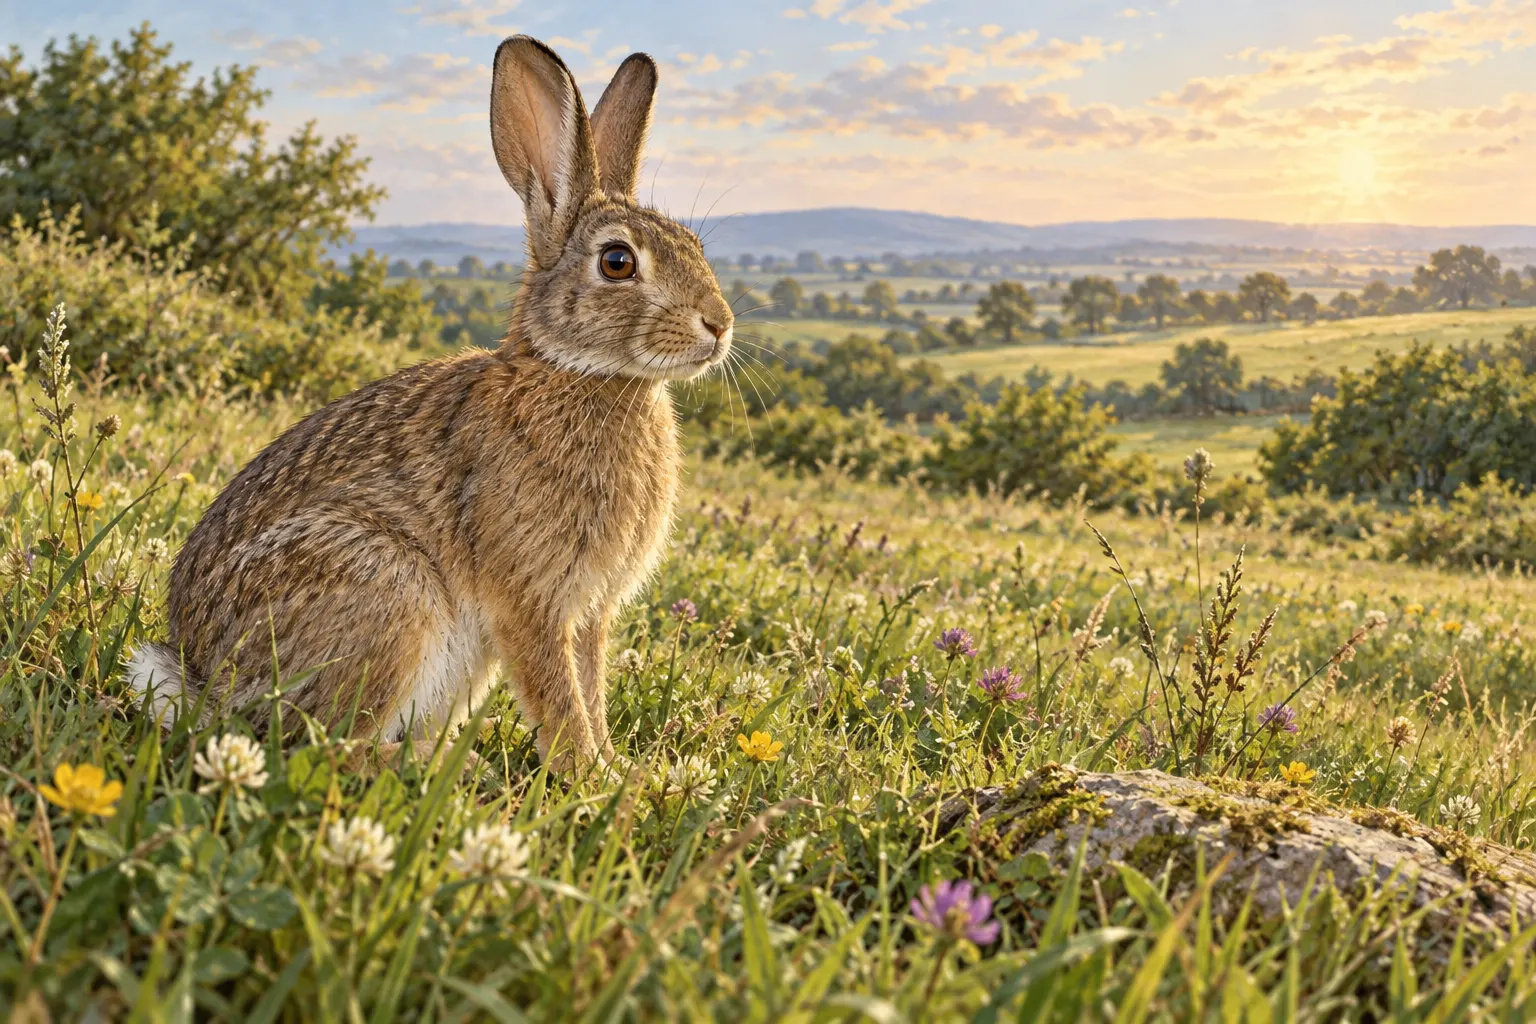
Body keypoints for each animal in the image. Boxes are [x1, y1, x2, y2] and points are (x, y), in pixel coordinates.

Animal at [123, 35, 734, 771]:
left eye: (695, 246)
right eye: (618, 262)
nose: (719, 325)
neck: (581, 373)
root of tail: (207, 682)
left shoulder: (588, 612)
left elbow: (589, 688)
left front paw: (615, 768)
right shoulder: (530, 600)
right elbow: (559, 698)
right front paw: (587, 775)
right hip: (387, 590)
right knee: (322, 746)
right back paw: (440, 763)